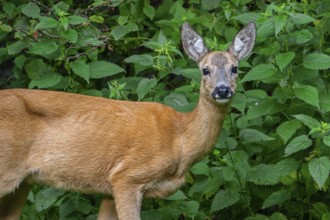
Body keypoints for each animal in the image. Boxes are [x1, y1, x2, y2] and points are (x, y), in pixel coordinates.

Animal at [0, 21, 255, 219]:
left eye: (235, 69)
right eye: (205, 70)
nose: (222, 90)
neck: (179, 138)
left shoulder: (108, 190)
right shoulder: (127, 177)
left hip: (22, 184)